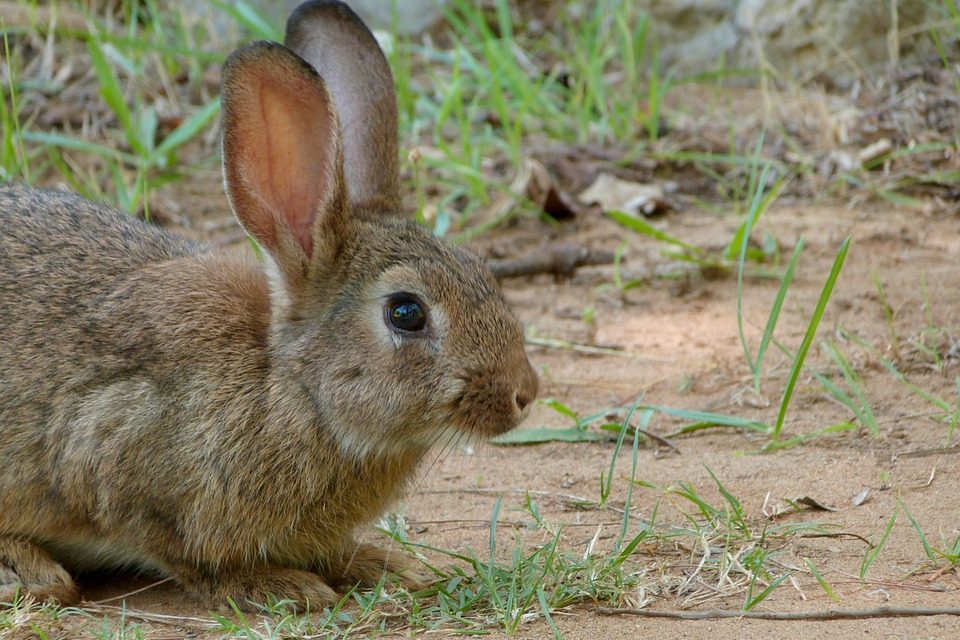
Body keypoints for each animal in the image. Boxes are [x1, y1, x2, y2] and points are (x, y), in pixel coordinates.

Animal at [0, 0, 538, 611]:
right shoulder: (112, 449)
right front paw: (278, 585)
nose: (524, 393)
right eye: (406, 313)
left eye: (482, 271)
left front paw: (384, 565)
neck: (293, 388)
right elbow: (185, 557)